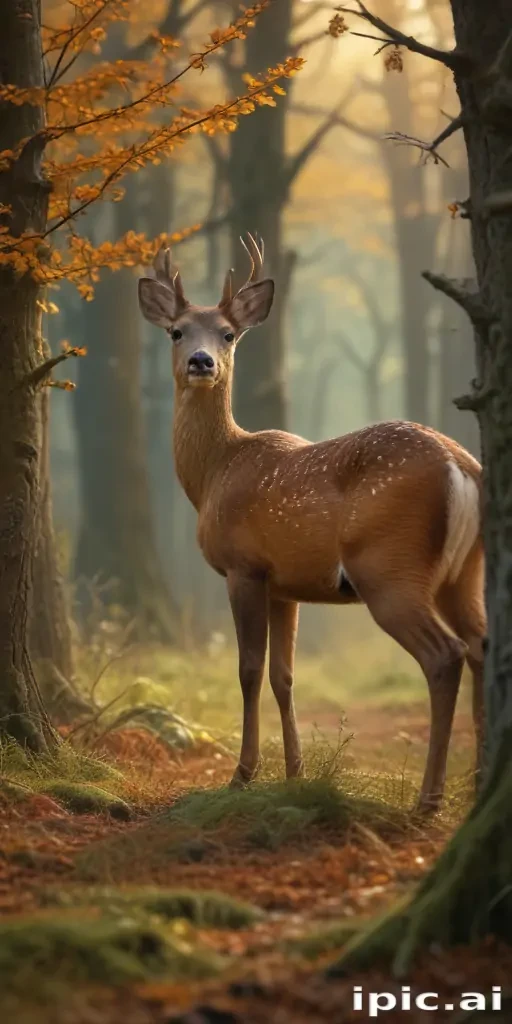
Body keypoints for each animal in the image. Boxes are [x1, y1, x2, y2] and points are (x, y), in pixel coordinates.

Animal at [138, 233, 486, 814]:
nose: (202, 361)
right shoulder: (287, 585)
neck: (214, 472)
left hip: (390, 566)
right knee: (483, 647)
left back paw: (430, 798)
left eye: (228, 333)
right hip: (466, 571)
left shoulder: (244, 567)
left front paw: (243, 773)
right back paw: (480, 784)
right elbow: (285, 675)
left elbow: (248, 670)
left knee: (446, 655)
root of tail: (461, 467)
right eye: (177, 330)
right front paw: (295, 772)